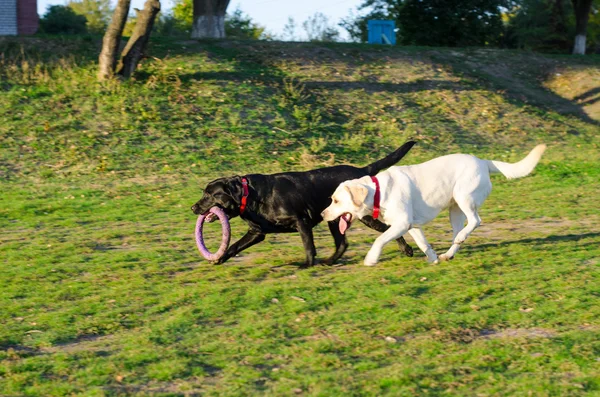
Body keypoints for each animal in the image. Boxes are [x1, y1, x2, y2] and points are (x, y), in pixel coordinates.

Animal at [190, 141, 414, 268]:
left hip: (364, 216)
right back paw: (329, 262)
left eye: (209, 194)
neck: (251, 195)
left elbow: (308, 246)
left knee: (388, 229)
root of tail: (361, 170)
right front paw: (218, 259)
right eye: (204, 193)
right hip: (334, 219)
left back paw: (407, 250)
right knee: (342, 243)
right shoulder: (256, 232)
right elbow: (234, 246)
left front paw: (306, 265)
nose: (193, 208)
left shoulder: (302, 221)